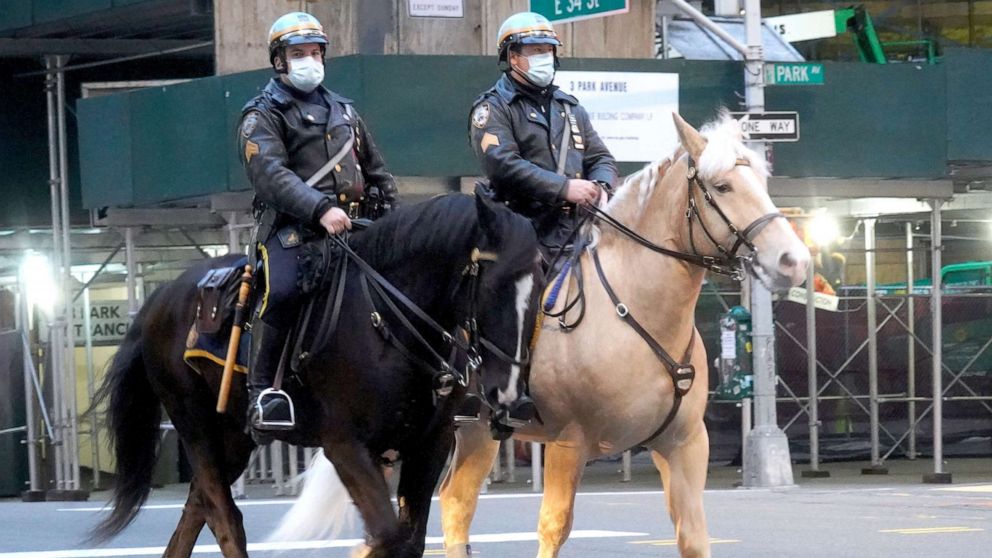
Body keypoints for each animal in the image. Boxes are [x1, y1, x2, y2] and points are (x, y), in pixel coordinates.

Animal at [93, 194, 544, 558]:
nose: (512, 398)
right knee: (224, 516)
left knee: (196, 508)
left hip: (235, 435)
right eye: (495, 287)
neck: (389, 321)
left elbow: (407, 540)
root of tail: (162, 293)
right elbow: (389, 537)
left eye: (540, 290)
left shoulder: (428, 447)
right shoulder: (346, 447)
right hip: (194, 423)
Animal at [438, 115, 808, 558]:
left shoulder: (684, 445)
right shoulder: (568, 442)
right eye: (722, 186)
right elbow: (553, 527)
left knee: (456, 503)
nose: (794, 261)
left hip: (476, 430)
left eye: (763, 183)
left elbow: (694, 535)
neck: (636, 309)